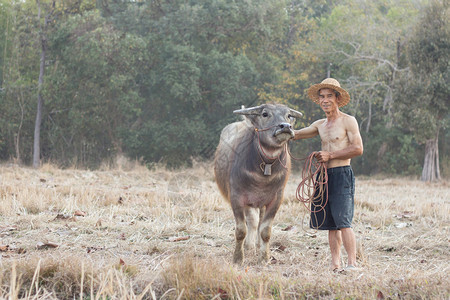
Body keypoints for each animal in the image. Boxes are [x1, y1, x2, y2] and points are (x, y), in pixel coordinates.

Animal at [214, 103, 302, 264]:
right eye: (265, 114)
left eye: (288, 115)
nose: (285, 126)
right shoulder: (236, 197)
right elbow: (241, 230)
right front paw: (238, 257)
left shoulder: (276, 199)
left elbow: (265, 230)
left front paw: (264, 257)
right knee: (252, 221)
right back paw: (249, 246)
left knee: (258, 222)